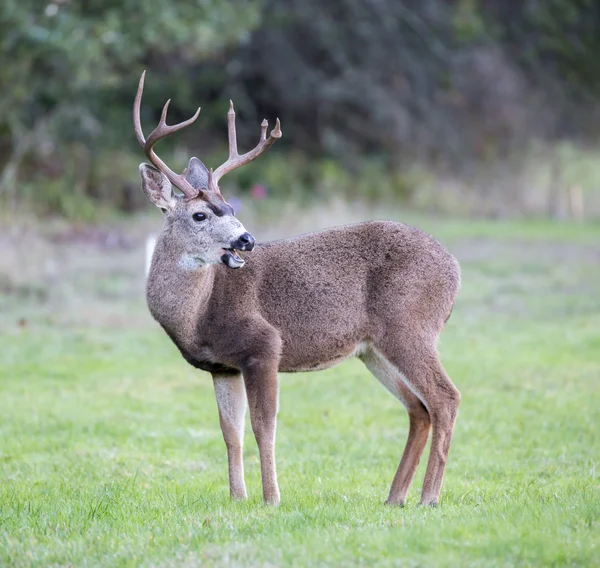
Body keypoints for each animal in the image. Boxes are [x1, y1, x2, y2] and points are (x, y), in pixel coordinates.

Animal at [132, 71, 460, 506]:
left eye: (232, 209)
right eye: (201, 215)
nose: (246, 240)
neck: (198, 314)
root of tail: (455, 268)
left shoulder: (263, 345)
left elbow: (263, 427)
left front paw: (271, 499)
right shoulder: (221, 367)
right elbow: (230, 433)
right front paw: (238, 498)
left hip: (410, 326)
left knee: (445, 398)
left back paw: (428, 498)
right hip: (373, 350)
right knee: (418, 409)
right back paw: (395, 498)